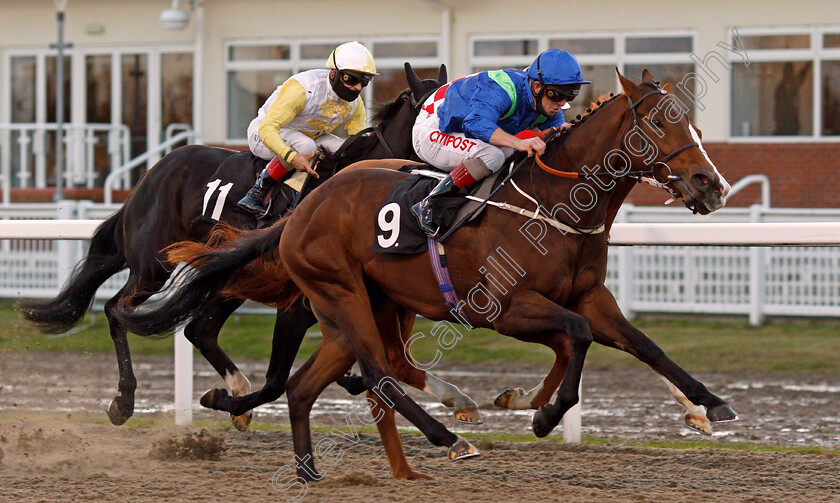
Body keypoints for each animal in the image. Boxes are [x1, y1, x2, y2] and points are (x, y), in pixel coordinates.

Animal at [18, 64, 480, 434]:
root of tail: (151, 176)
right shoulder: (297, 305)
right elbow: (283, 379)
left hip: (229, 278)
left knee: (198, 329)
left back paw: (234, 395)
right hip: (152, 265)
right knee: (118, 310)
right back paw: (125, 401)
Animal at [116, 68, 736, 480]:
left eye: (690, 121)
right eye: (658, 121)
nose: (711, 185)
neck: (554, 205)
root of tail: (307, 207)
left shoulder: (588, 297)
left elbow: (640, 344)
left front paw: (709, 405)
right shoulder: (503, 308)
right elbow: (576, 340)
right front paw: (542, 412)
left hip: (357, 308)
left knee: (307, 383)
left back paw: (309, 465)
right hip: (339, 295)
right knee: (373, 371)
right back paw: (447, 438)